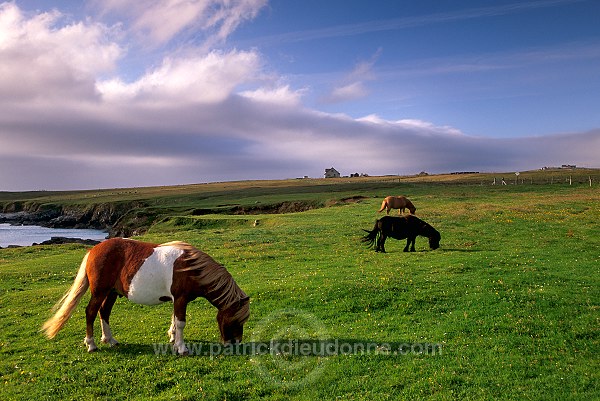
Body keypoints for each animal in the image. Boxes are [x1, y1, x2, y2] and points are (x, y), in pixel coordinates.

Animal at [41, 238, 248, 354]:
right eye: (236, 320)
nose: (235, 343)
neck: (192, 268)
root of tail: (94, 250)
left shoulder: (176, 300)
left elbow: (174, 320)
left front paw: (173, 338)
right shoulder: (180, 299)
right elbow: (181, 322)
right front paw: (181, 348)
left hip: (112, 293)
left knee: (104, 312)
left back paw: (109, 339)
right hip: (100, 291)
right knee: (91, 312)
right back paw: (91, 344)